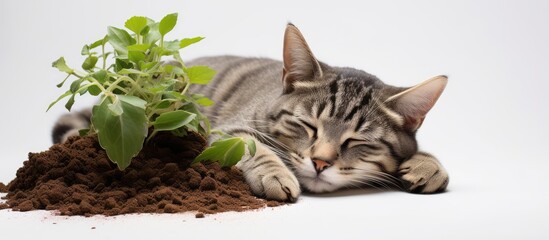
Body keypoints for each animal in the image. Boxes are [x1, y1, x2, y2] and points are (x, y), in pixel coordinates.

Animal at [53, 23, 450, 202]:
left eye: (356, 142)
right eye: (307, 126)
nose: (320, 163)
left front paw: (428, 164)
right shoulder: (230, 129)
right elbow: (255, 147)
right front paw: (276, 175)